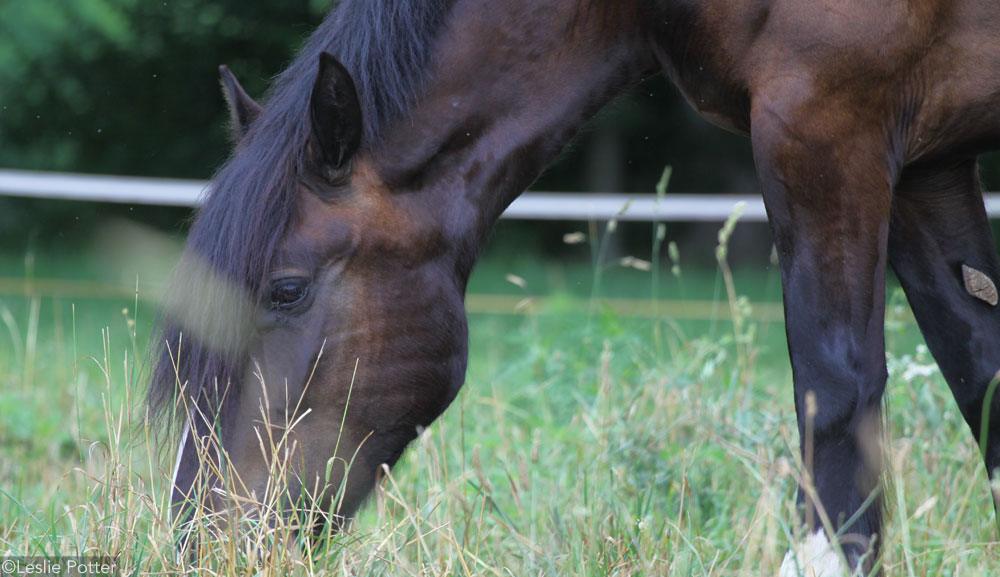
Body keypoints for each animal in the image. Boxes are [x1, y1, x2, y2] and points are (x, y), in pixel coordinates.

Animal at [150, 0, 1000, 572]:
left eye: (286, 290)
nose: (201, 541)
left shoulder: (826, 121)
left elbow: (836, 389)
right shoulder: (926, 164)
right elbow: (979, 373)